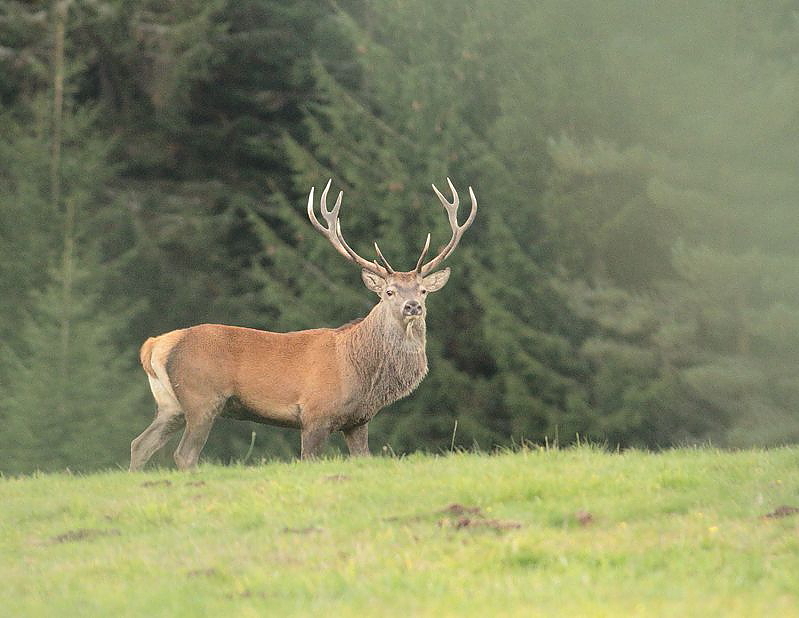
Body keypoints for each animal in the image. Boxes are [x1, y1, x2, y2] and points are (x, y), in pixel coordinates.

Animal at [129, 178, 477, 470]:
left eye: (423, 290)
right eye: (389, 291)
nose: (412, 305)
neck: (363, 373)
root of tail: (154, 345)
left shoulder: (358, 421)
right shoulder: (314, 414)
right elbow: (308, 459)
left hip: (170, 404)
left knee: (139, 444)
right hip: (201, 397)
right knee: (184, 454)